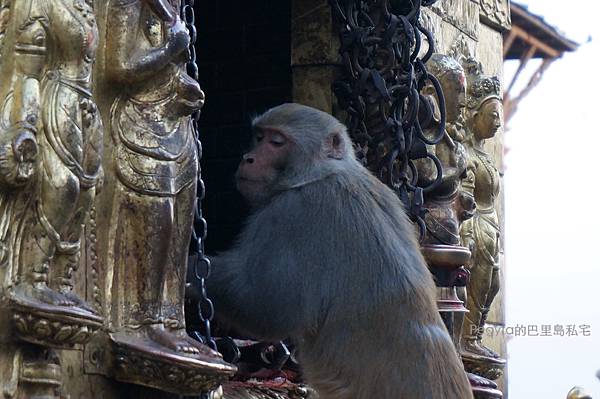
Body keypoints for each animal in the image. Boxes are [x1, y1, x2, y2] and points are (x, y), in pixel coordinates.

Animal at [206, 104, 474, 399]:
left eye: (276, 142)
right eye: (258, 137)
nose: (248, 158)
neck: (323, 171)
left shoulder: (294, 212)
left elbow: (265, 305)